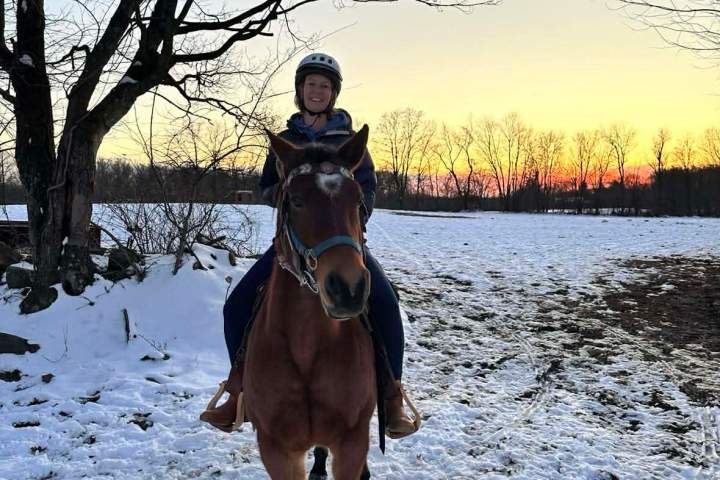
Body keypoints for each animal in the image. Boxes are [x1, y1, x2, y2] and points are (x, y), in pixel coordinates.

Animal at [243, 125, 376, 480]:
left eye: (357, 200)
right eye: (296, 200)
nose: (348, 288)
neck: (306, 348)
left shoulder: (352, 443)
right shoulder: (276, 449)